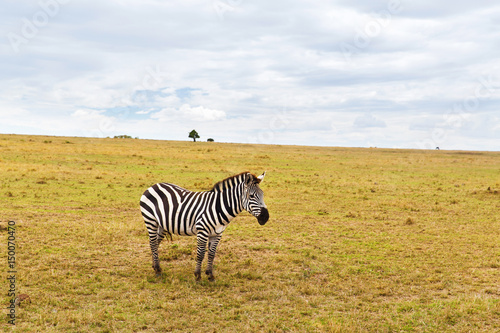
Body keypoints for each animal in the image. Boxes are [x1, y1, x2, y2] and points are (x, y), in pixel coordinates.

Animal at [139, 171, 268, 280]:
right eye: (251, 196)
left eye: (262, 194)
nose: (266, 217)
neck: (218, 207)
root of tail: (154, 186)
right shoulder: (202, 231)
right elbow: (200, 254)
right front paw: (197, 275)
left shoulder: (217, 233)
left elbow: (211, 254)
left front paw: (210, 275)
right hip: (151, 220)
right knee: (152, 243)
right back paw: (157, 269)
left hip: (162, 225)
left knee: (155, 243)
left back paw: (156, 266)